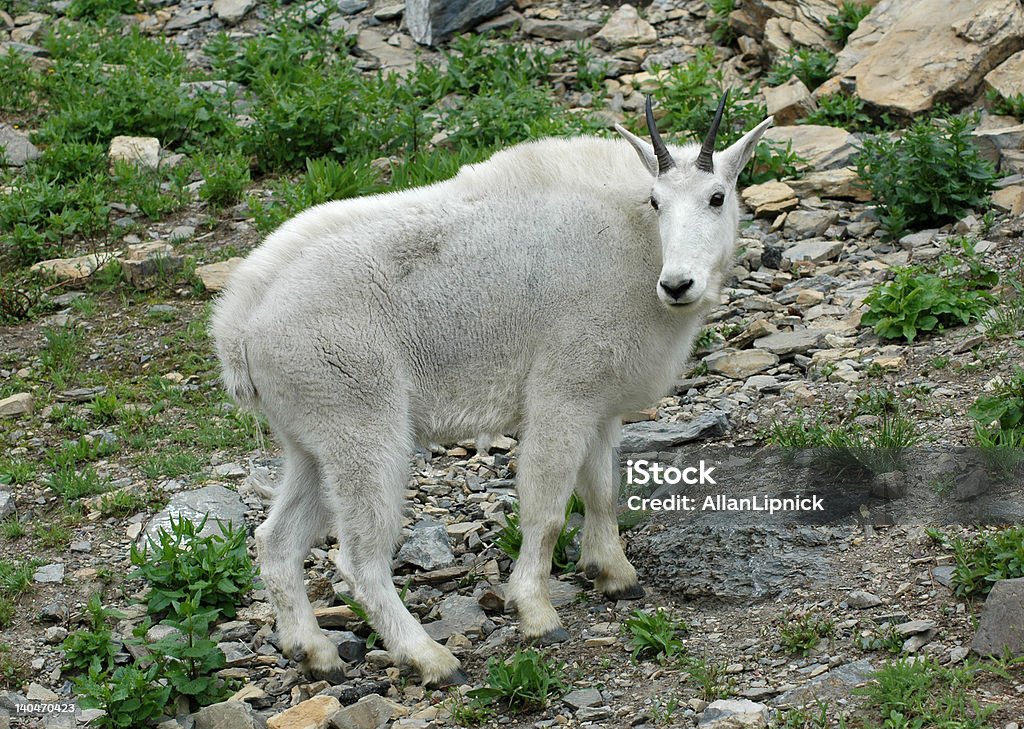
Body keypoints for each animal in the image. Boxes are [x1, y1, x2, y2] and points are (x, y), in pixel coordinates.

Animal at [216, 94, 770, 688]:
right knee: (359, 557)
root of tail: (238, 323)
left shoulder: (598, 405)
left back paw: (314, 651)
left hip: (309, 439)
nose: (677, 285)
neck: (638, 245)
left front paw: (616, 575)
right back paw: (429, 658)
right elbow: (546, 512)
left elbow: (601, 490)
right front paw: (536, 614)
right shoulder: (561, 393)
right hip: (361, 426)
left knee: (276, 540)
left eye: (717, 197)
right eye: (656, 200)